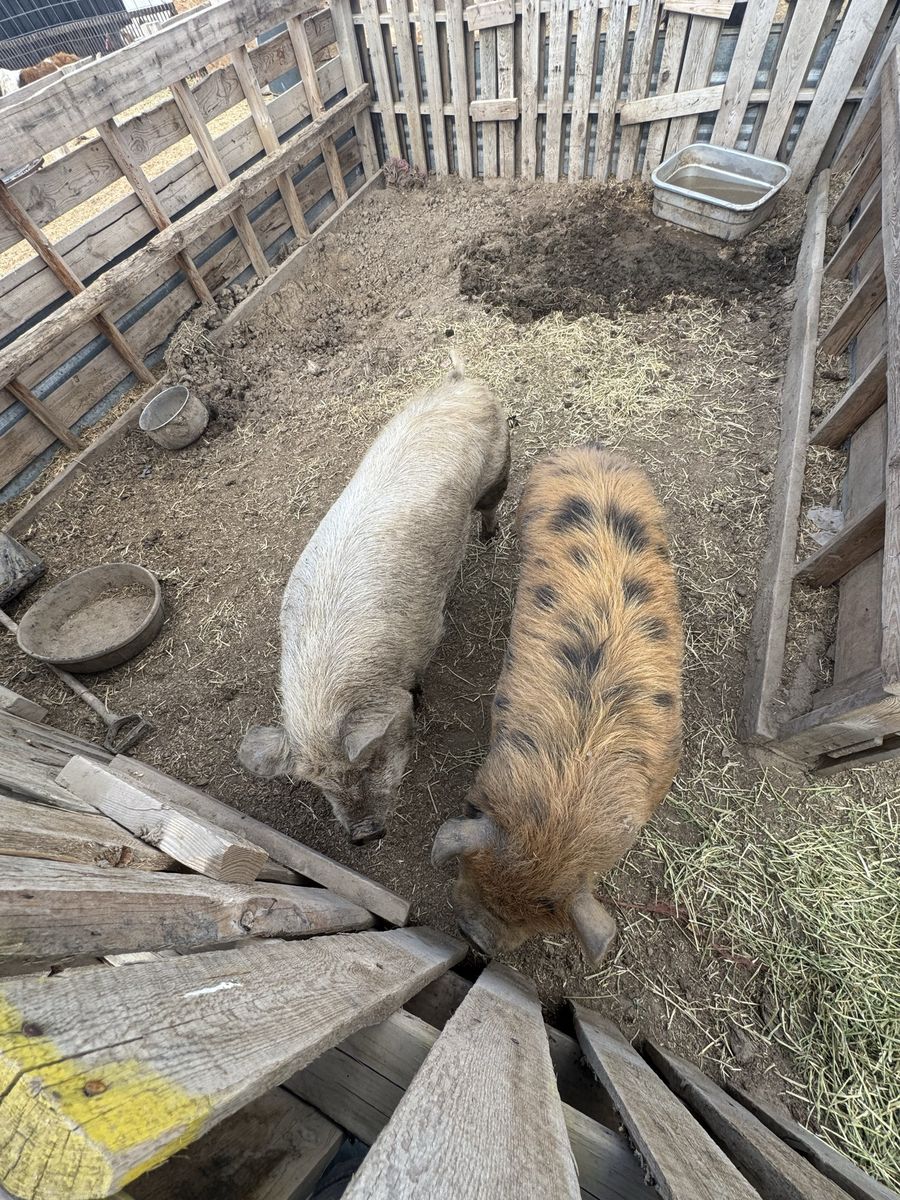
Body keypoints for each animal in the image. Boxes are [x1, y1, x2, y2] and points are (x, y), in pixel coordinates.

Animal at [239, 355, 509, 844]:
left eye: (369, 762)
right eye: (317, 783)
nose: (364, 836)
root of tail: (462, 383)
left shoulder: (427, 632)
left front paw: (421, 705)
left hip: (499, 466)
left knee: (491, 503)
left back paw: (488, 537)